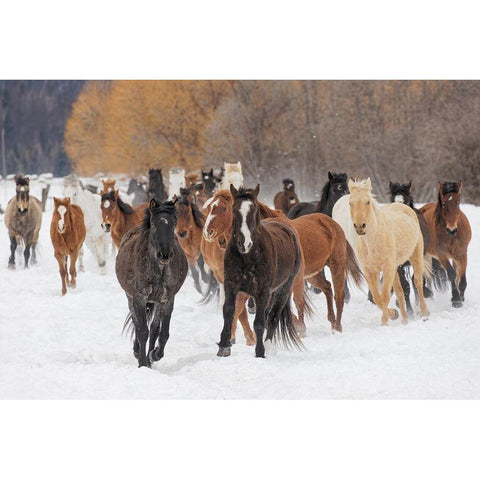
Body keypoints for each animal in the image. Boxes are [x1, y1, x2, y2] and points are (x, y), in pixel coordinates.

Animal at [116, 199, 188, 368]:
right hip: (130, 297)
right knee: (137, 324)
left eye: (173, 224)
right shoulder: (139, 297)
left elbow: (162, 332)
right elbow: (142, 330)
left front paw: (154, 355)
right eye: (154, 224)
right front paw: (142, 363)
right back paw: (138, 353)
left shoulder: (167, 299)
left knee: (154, 329)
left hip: (156, 302)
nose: (165, 254)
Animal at [218, 186, 304, 358]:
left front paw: (260, 352)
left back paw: (268, 346)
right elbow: (228, 312)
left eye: (254, 210)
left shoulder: (262, 291)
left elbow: (259, 322)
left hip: (283, 289)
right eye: (234, 209)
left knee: (272, 317)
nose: (244, 243)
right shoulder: (231, 285)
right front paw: (224, 346)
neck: (248, 256)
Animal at [346, 178, 430, 324]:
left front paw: (384, 323)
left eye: (367, 201)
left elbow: (385, 295)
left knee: (418, 283)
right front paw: (394, 314)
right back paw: (404, 319)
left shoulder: (387, 267)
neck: (372, 242)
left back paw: (424, 313)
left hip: (415, 257)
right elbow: (377, 297)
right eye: (350, 203)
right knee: (400, 290)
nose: (360, 227)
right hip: (396, 268)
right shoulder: (370, 271)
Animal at [420, 180, 472, 308]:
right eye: (443, 204)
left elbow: (461, 277)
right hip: (424, 254)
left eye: (458, 203)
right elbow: (452, 274)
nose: (451, 229)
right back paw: (426, 294)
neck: (451, 236)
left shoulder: (462, 254)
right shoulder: (442, 255)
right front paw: (456, 299)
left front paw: (461, 297)